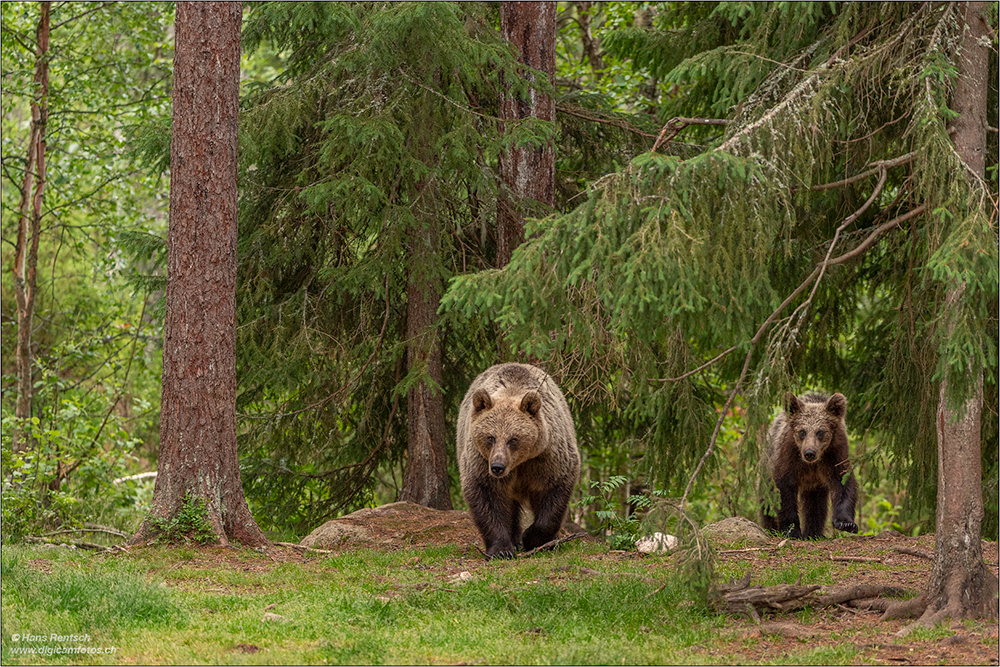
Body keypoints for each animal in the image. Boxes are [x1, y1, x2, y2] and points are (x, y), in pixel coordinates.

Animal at [456, 366, 580, 560]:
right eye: (490, 437)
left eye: (513, 439)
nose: (497, 467)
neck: (519, 464)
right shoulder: (481, 461)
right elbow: (487, 497)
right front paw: (501, 549)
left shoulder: (547, 459)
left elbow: (553, 492)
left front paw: (531, 537)